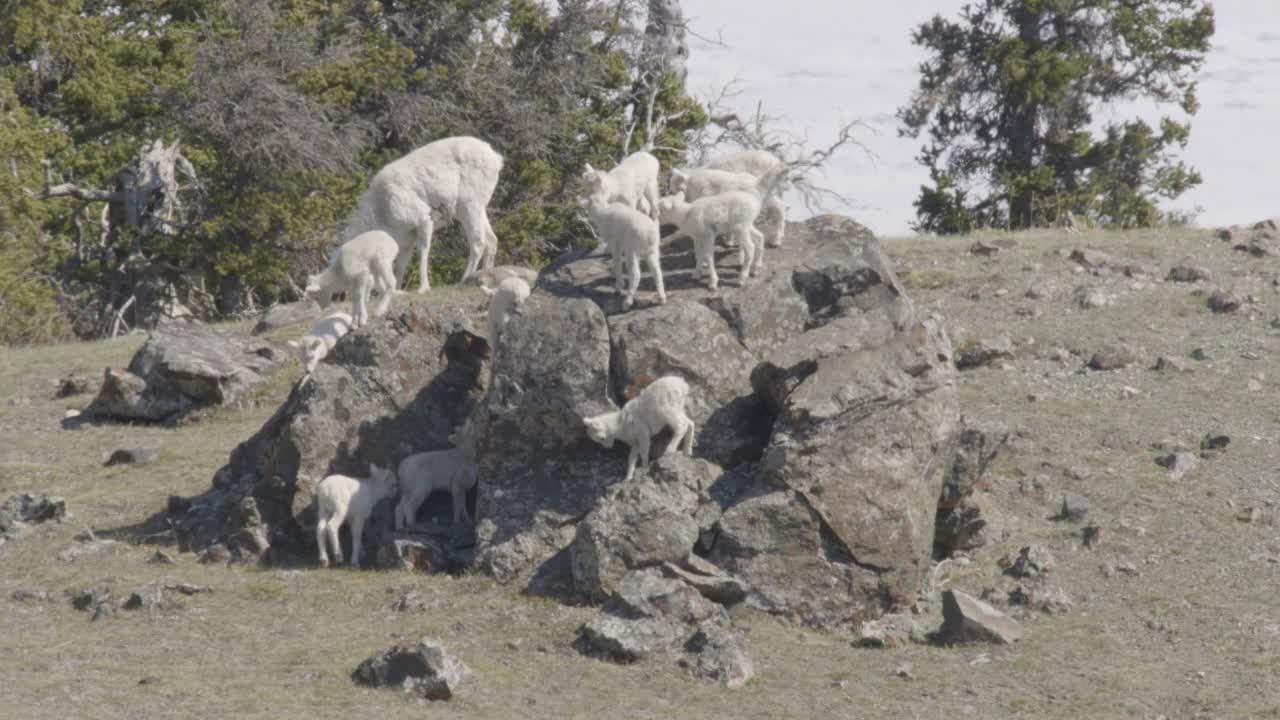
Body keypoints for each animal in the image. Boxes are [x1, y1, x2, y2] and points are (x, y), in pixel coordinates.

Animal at [345, 134, 504, 292]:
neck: (381, 210)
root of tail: (496, 158)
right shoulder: (407, 239)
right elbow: (400, 266)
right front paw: (397, 290)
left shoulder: (424, 221)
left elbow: (423, 253)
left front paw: (423, 288)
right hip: (477, 210)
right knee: (492, 240)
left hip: (469, 208)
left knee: (478, 242)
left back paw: (462, 281)